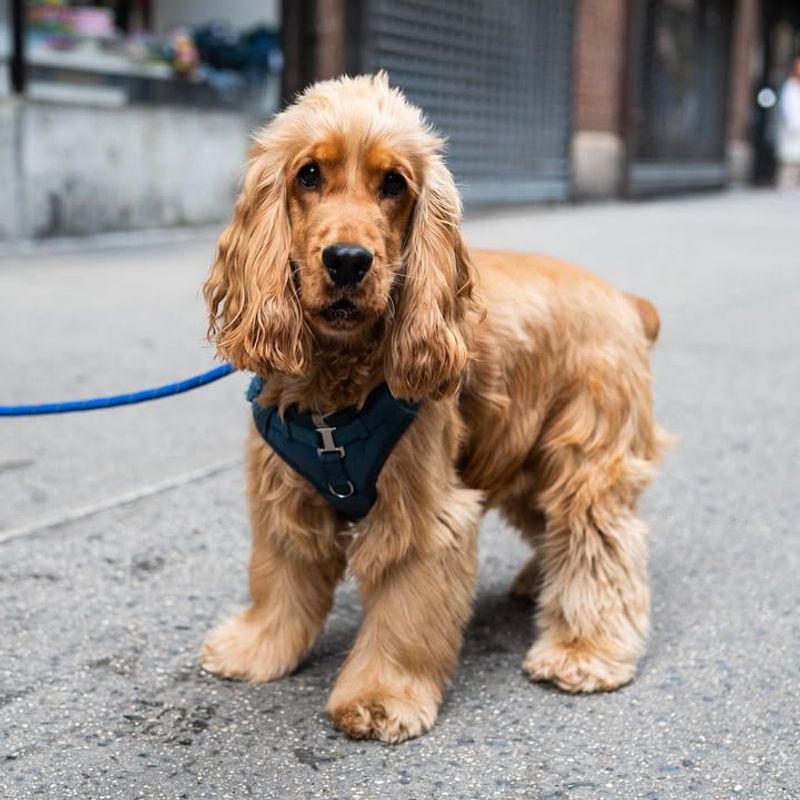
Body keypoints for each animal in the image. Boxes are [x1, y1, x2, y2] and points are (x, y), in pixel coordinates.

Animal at [202, 73, 668, 744]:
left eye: (394, 184)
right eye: (308, 174)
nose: (348, 260)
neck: (334, 393)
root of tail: (625, 301)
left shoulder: (423, 516)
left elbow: (403, 616)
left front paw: (379, 698)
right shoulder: (284, 494)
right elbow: (278, 583)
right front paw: (255, 649)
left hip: (586, 456)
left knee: (600, 545)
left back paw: (583, 651)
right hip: (521, 457)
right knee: (552, 528)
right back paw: (534, 584)